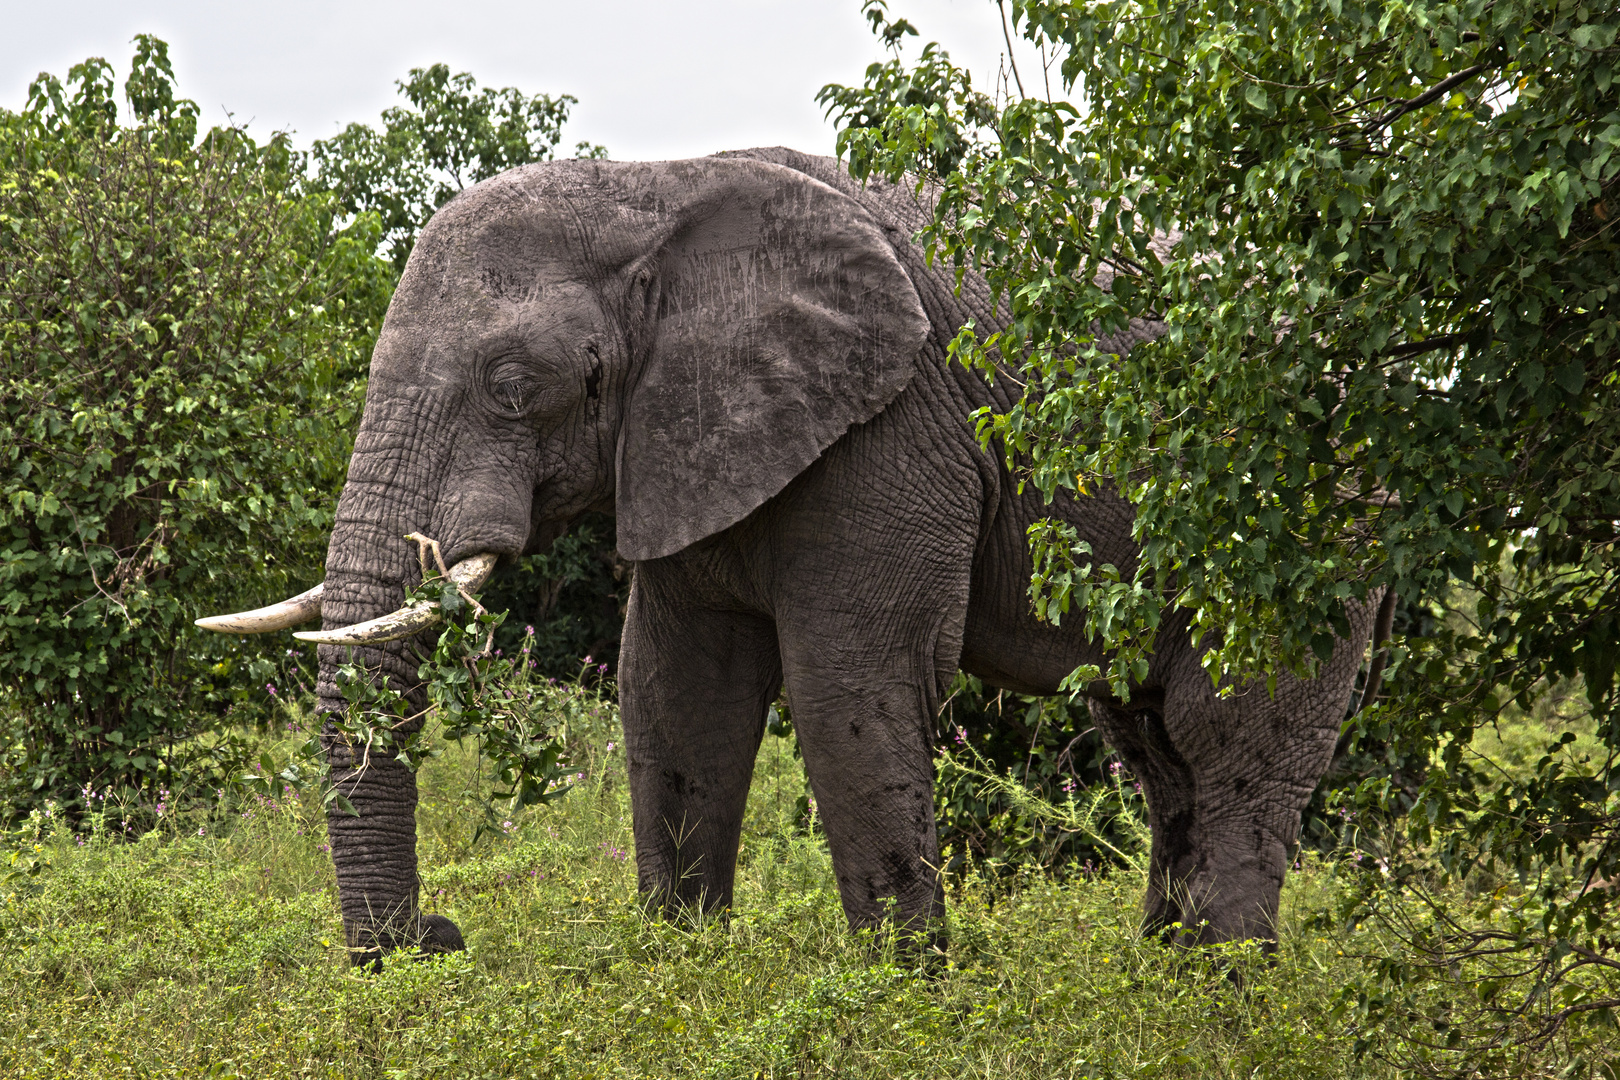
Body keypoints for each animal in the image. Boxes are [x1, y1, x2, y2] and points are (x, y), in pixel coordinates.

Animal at [196, 145, 1373, 965]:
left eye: (512, 385)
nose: (432, 941)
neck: (651, 191)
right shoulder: (684, 442)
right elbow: (676, 687)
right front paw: (679, 971)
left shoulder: (888, 431)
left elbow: (846, 678)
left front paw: (904, 990)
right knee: (1154, 744)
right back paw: (1158, 978)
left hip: (1308, 519)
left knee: (1231, 737)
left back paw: (1223, 989)